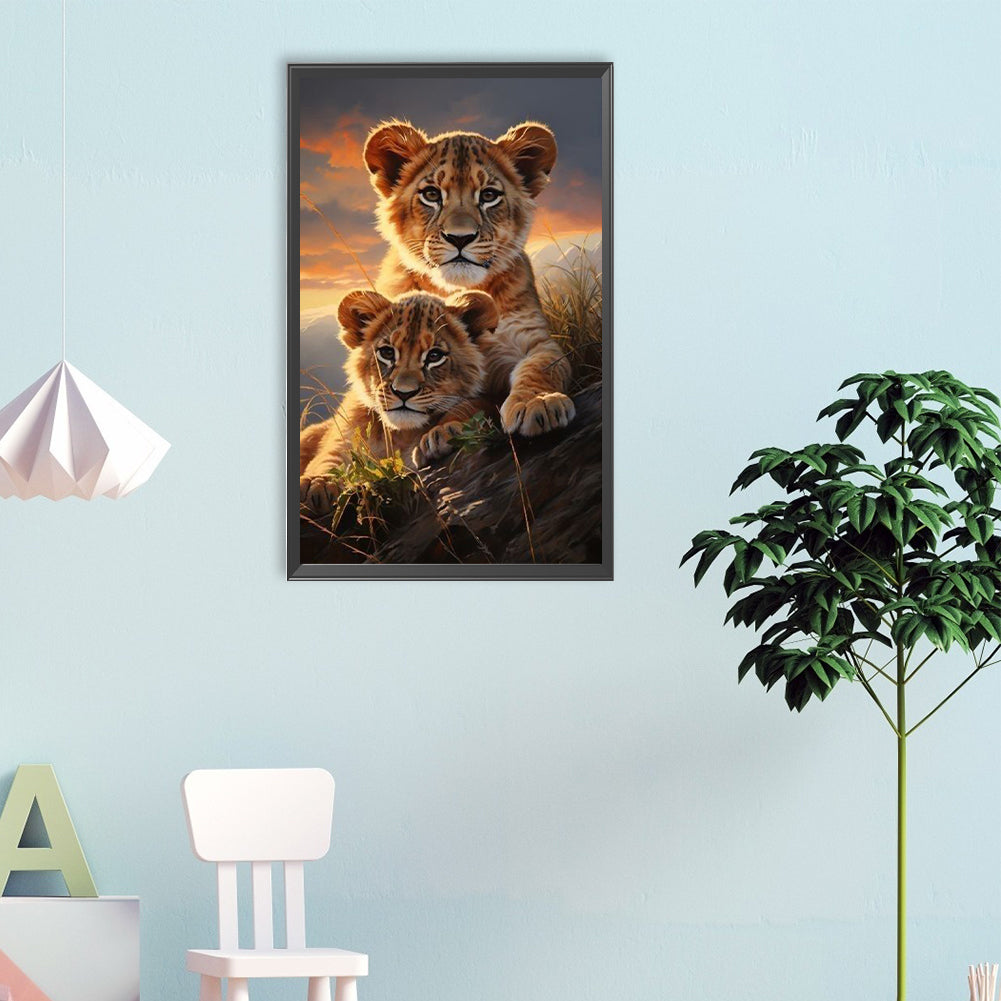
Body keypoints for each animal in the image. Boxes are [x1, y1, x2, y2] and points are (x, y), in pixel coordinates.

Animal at [299, 287, 499, 514]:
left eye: (434, 356)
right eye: (387, 352)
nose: (404, 393)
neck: (400, 434)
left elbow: (473, 406)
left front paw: (444, 433)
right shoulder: (342, 439)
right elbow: (328, 458)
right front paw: (316, 484)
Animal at [362, 118, 576, 438]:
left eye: (488, 195)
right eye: (432, 194)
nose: (459, 238)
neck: (459, 289)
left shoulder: (533, 339)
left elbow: (543, 366)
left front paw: (539, 403)